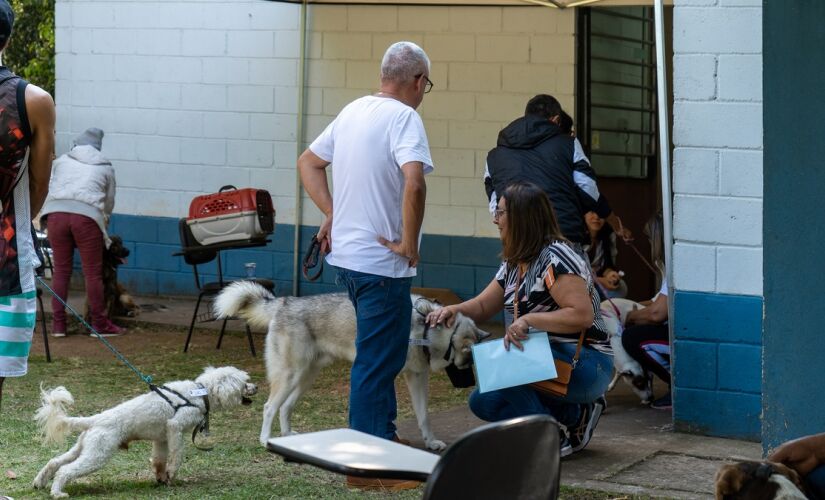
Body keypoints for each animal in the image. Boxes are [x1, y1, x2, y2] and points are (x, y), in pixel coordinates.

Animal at [33, 366, 256, 498]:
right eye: (244, 382)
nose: (256, 387)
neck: (200, 393)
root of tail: (94, 420)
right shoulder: (175, 427)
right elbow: (177, 456)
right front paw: (171, 474)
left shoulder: (162, 439)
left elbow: (159, 460)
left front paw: (161, 478)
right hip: (97, 455)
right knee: (65, 470)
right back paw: (57, 493)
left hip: (85, 449)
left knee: (54, 462)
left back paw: (39, 483)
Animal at [216, 282, 492, 454]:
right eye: (468, 364)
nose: (470, 385)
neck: (426, 329)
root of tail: (285, 302)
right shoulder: (387, 374)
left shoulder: (417, 377)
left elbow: (423, 416)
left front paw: (431, 442)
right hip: (290, 376)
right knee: (270, 407)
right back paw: (265, 440)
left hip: (306, 377)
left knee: (285, 407)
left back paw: (287, 436)